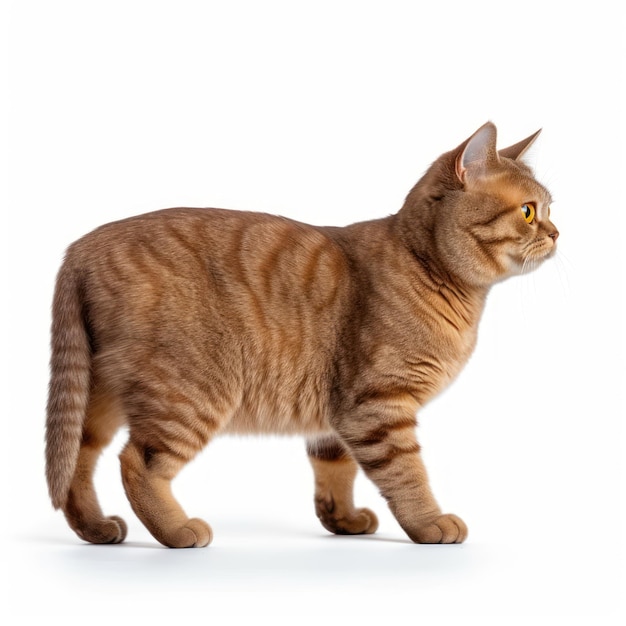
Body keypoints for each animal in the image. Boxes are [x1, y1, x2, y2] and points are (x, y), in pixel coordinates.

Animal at [46, 122, 560, 544]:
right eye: (528, 212)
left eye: (551, 209)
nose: (558, 232)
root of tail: (78, 248)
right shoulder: (378, 404)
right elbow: (407, 473)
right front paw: (429, 522)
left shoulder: (336, 416)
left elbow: (335, 470)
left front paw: (343, 520)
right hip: (190, 393)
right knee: (136, 463)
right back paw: (176, 530)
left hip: (98, 392)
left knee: (77, 459)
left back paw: (95, 528)